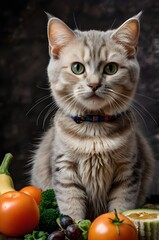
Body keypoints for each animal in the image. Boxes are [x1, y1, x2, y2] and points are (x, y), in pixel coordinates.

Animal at [29, 11, 154, 221]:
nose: (94, 84)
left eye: (111, 68)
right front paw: (78, 225)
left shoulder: (129, 171)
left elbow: (122, 205)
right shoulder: (64, 170)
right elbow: (71, 206)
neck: (94, 127)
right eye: (77, 68)